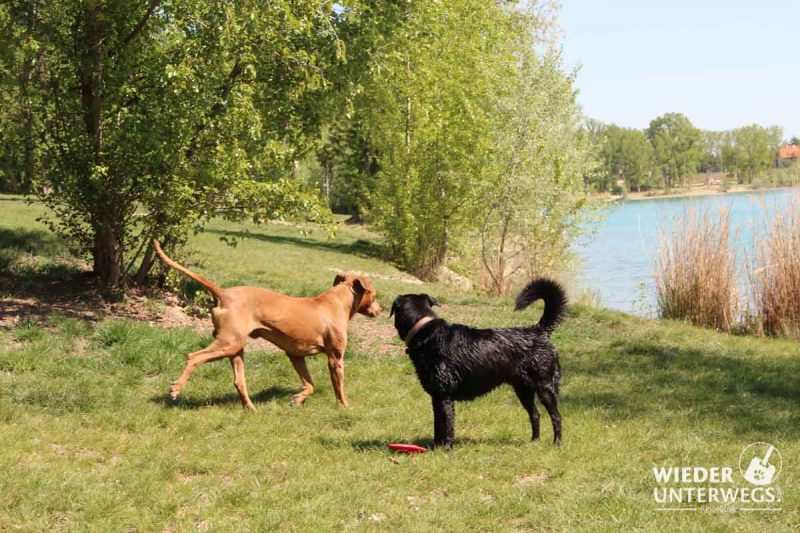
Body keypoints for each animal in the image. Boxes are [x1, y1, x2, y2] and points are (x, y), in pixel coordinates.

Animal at [154, 239, 384, 410]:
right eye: (374, 295)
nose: (381, 311)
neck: (335, 302)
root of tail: (224, 294)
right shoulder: (335, 358)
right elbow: (339, 387)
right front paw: (344, 406)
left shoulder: (296, 355)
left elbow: (310, 384)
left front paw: (298, 399)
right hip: (228, 344)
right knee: (194, 357)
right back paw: (176, 388)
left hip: (235, 348)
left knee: (239, 381)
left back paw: (250, 408)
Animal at [390, 280, 564, 446]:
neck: (425, 331)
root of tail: (539, 330)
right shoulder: (437, 396)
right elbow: (438, 425)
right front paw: (435, 447)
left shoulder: (444, 395)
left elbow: (446, 425)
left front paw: (445, 448)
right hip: (523, 389)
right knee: (535, 414)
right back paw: (534, 442)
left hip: (545, 387)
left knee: (556, 417)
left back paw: (557, 443)